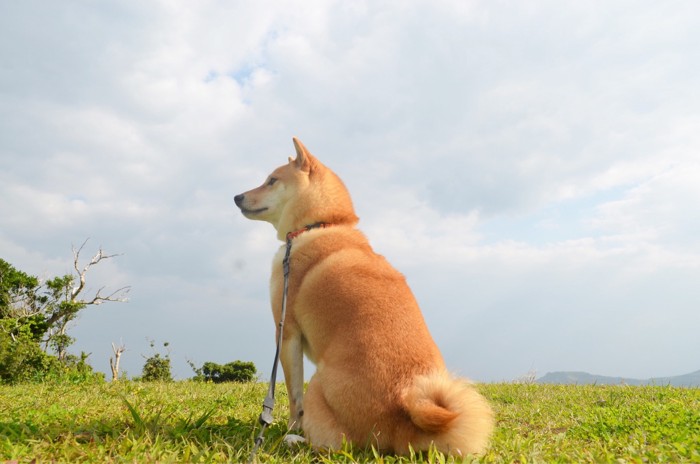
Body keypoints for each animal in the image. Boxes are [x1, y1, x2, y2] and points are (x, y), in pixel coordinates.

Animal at [234, 138, 492, 456]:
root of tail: (404, 418)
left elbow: (294, 399)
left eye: (271, 180)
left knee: (334, 444)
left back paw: (296, 439)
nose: (237, 197)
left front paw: (290, 428)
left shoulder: (287, 332)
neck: (321, 224)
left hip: (318, 382)